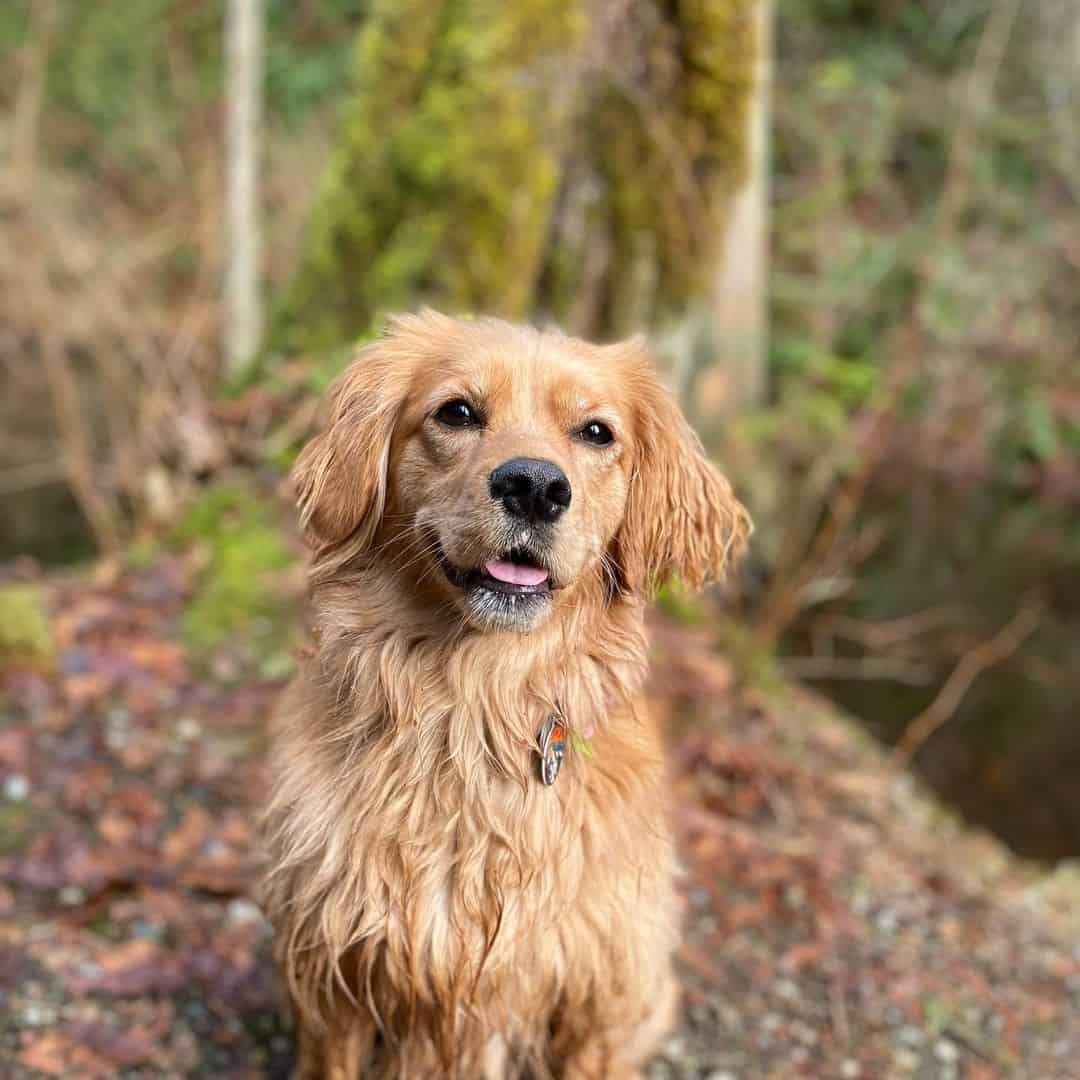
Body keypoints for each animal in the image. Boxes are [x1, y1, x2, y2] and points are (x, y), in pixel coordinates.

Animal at [261, 308, 751, 1075]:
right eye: (457, 412)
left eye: (596, 432)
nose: (535, 487)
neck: (472, 707)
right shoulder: (331, 974)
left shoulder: (587, 992)